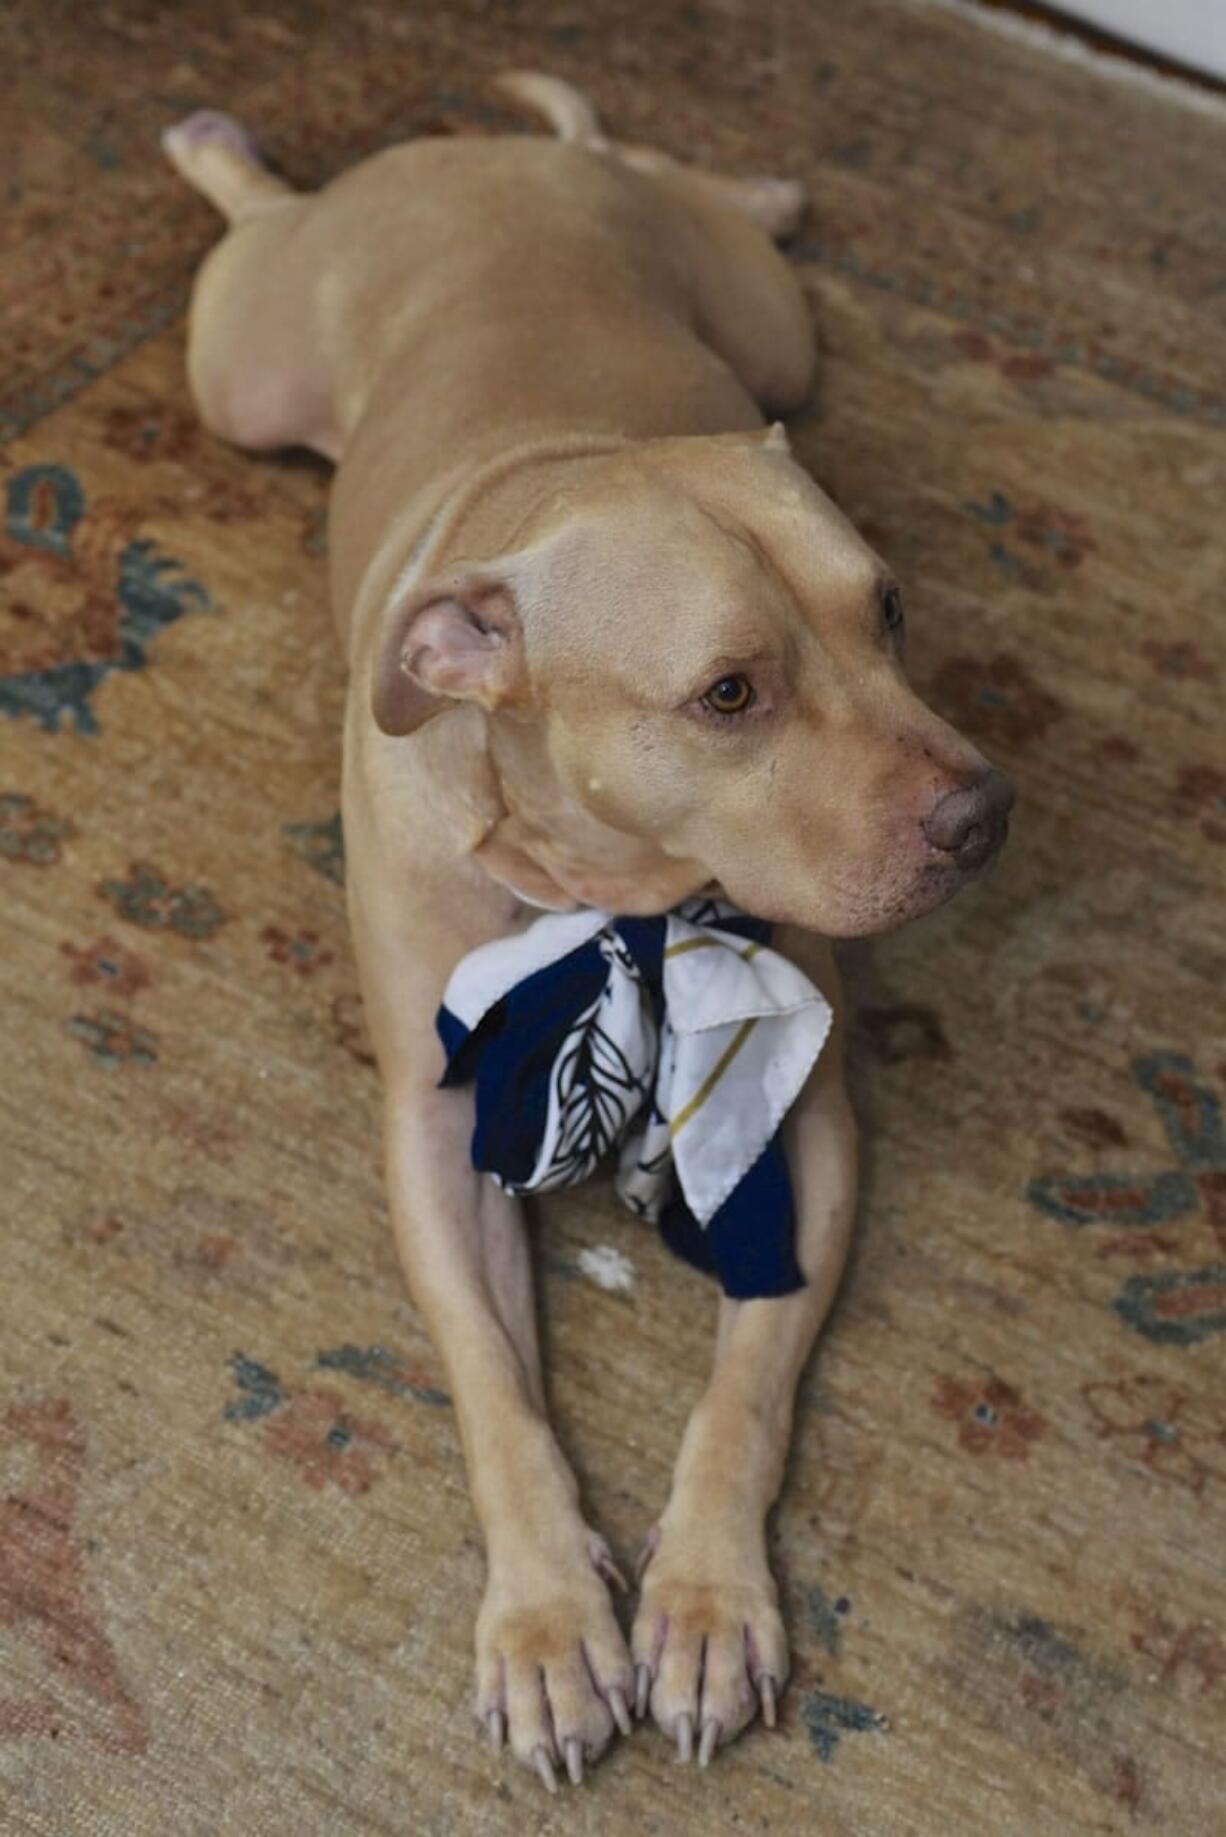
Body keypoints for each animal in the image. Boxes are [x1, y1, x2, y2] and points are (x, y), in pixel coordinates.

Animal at [165, 78, 1014, 1785]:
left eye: (889, 609)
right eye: (729, 694)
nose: (984, 814)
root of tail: (478, 155)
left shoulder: (802, 1121)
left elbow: (742, 1392)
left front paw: (701, 1604)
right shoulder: (435, 1136)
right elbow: (494, 1385)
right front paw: (553, 1622)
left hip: (770, 331)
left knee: (641, 158)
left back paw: (729, 175)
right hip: (244, 370)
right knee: (264, 219)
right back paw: (223, 155)